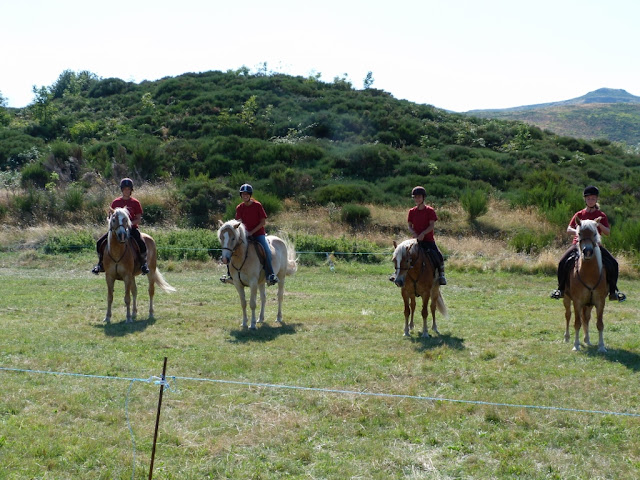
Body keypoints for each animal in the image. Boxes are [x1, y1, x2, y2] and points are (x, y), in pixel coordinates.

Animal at [564, 218, 608, 352]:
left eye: (594, 233)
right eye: (579, 233)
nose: (587, 251)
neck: (588, 274)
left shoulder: (600, 301)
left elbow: (600, 324)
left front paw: (601, 346)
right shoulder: (577, 301)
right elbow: (577, 323)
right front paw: (576, 345)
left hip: (588, 304)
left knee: (586, 318)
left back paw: (587, 340)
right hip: (566, 298)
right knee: (568, 315)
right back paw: (566, 337)